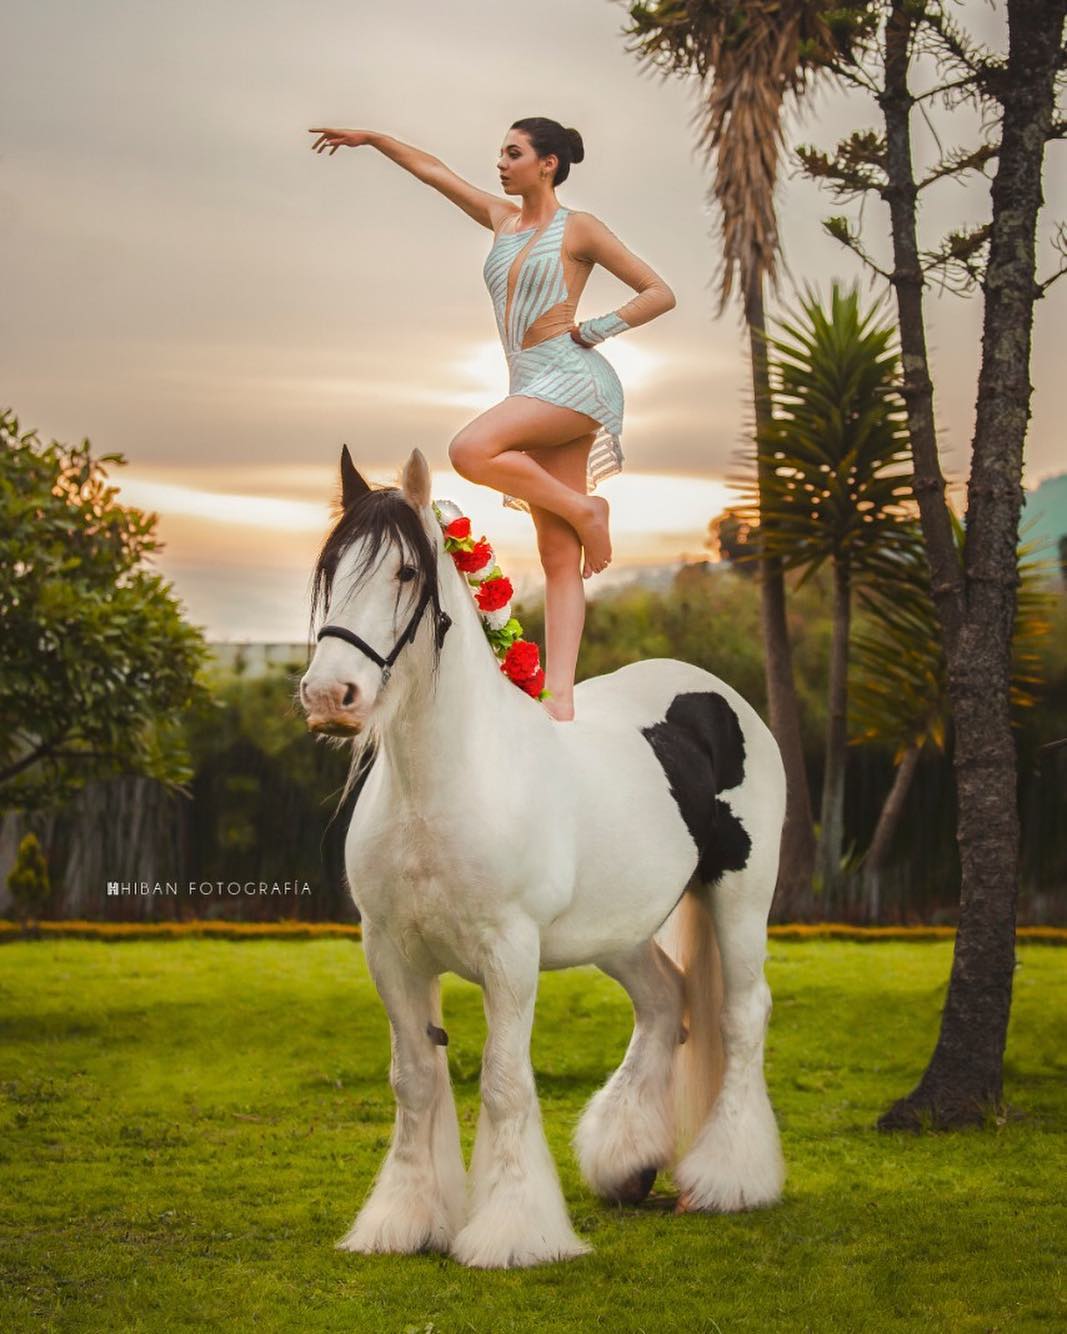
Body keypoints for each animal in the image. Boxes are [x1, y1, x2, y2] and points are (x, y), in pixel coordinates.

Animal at [297, 450, 784, 1269]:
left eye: (404, 571)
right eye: (329, 569)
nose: (331, 694)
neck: (437, 790)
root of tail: (721, 698)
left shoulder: (509, 952)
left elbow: (502, 1082)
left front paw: (511, 1232)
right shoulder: (389, 952)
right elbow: (415, 1081)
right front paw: (403, 1220)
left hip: (739, 898)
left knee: (742, 1015)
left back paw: (729, 1179)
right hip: (618, 932)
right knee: (665, 1001)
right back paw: (628, 1162)